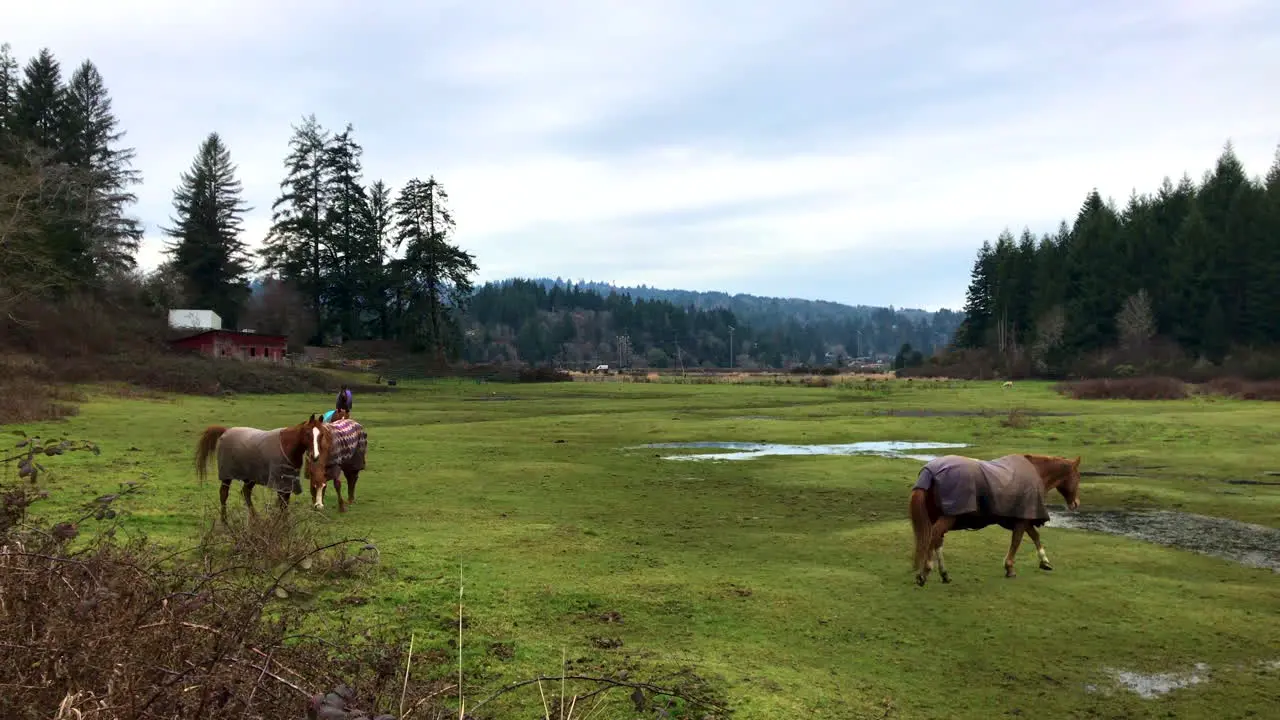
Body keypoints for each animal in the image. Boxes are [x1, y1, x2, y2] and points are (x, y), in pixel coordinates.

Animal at [911, 450, 1080, 586]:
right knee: (934, 536)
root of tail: (930, 472)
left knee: (937, 540)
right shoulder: (1022, 520)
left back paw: (944, 574)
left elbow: (1035, 536)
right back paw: (925, 571)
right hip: (948, 517)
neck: (1036, 472)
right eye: (1078, 477)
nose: (1076, 503)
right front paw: (1010, 568)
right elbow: (1017, 541)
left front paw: (1045, 562)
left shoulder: (1023, 519)